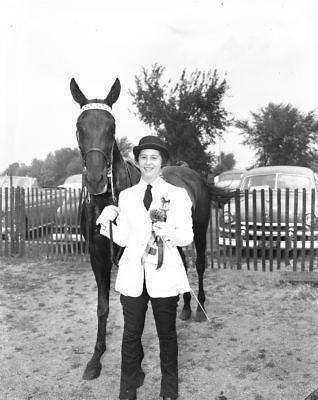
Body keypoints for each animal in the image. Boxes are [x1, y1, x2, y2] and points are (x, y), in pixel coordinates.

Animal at [69, 76, 231, 380]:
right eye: (79, 127)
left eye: (112, 127)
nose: (96, 180)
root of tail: (192, 173)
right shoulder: (98, 256)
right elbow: (103, 307)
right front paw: (95, 359)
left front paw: (138, 360)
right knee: (183, 265)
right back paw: (185, 307)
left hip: (198, 230)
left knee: (199, 265)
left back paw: (199, 308)